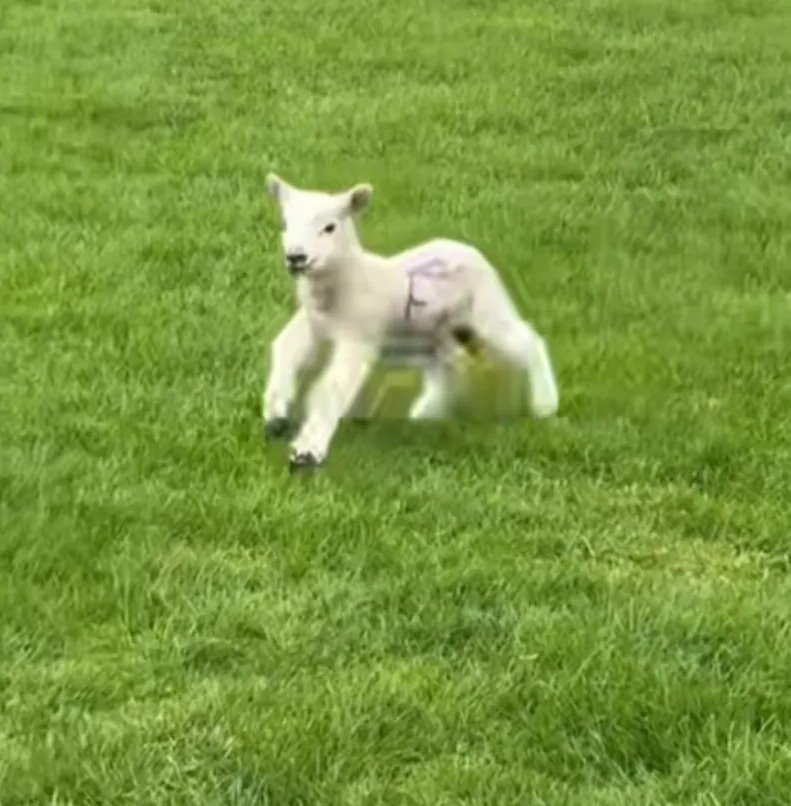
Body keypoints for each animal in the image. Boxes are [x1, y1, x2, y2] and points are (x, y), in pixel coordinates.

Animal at [262, 174, 559, 470]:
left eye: (330, 227)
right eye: (285, 224)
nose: (296, 257)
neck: (348, 280)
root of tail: (467, 248)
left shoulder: (359, 336)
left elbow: (330, 387)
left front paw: (307, 451)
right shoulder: (311, 323)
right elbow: (284, 349)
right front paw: (275, 416)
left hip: (487, 308)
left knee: (528, 342)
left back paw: (545, 403)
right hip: (429, 333)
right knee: (449, 363)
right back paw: (425, 413)